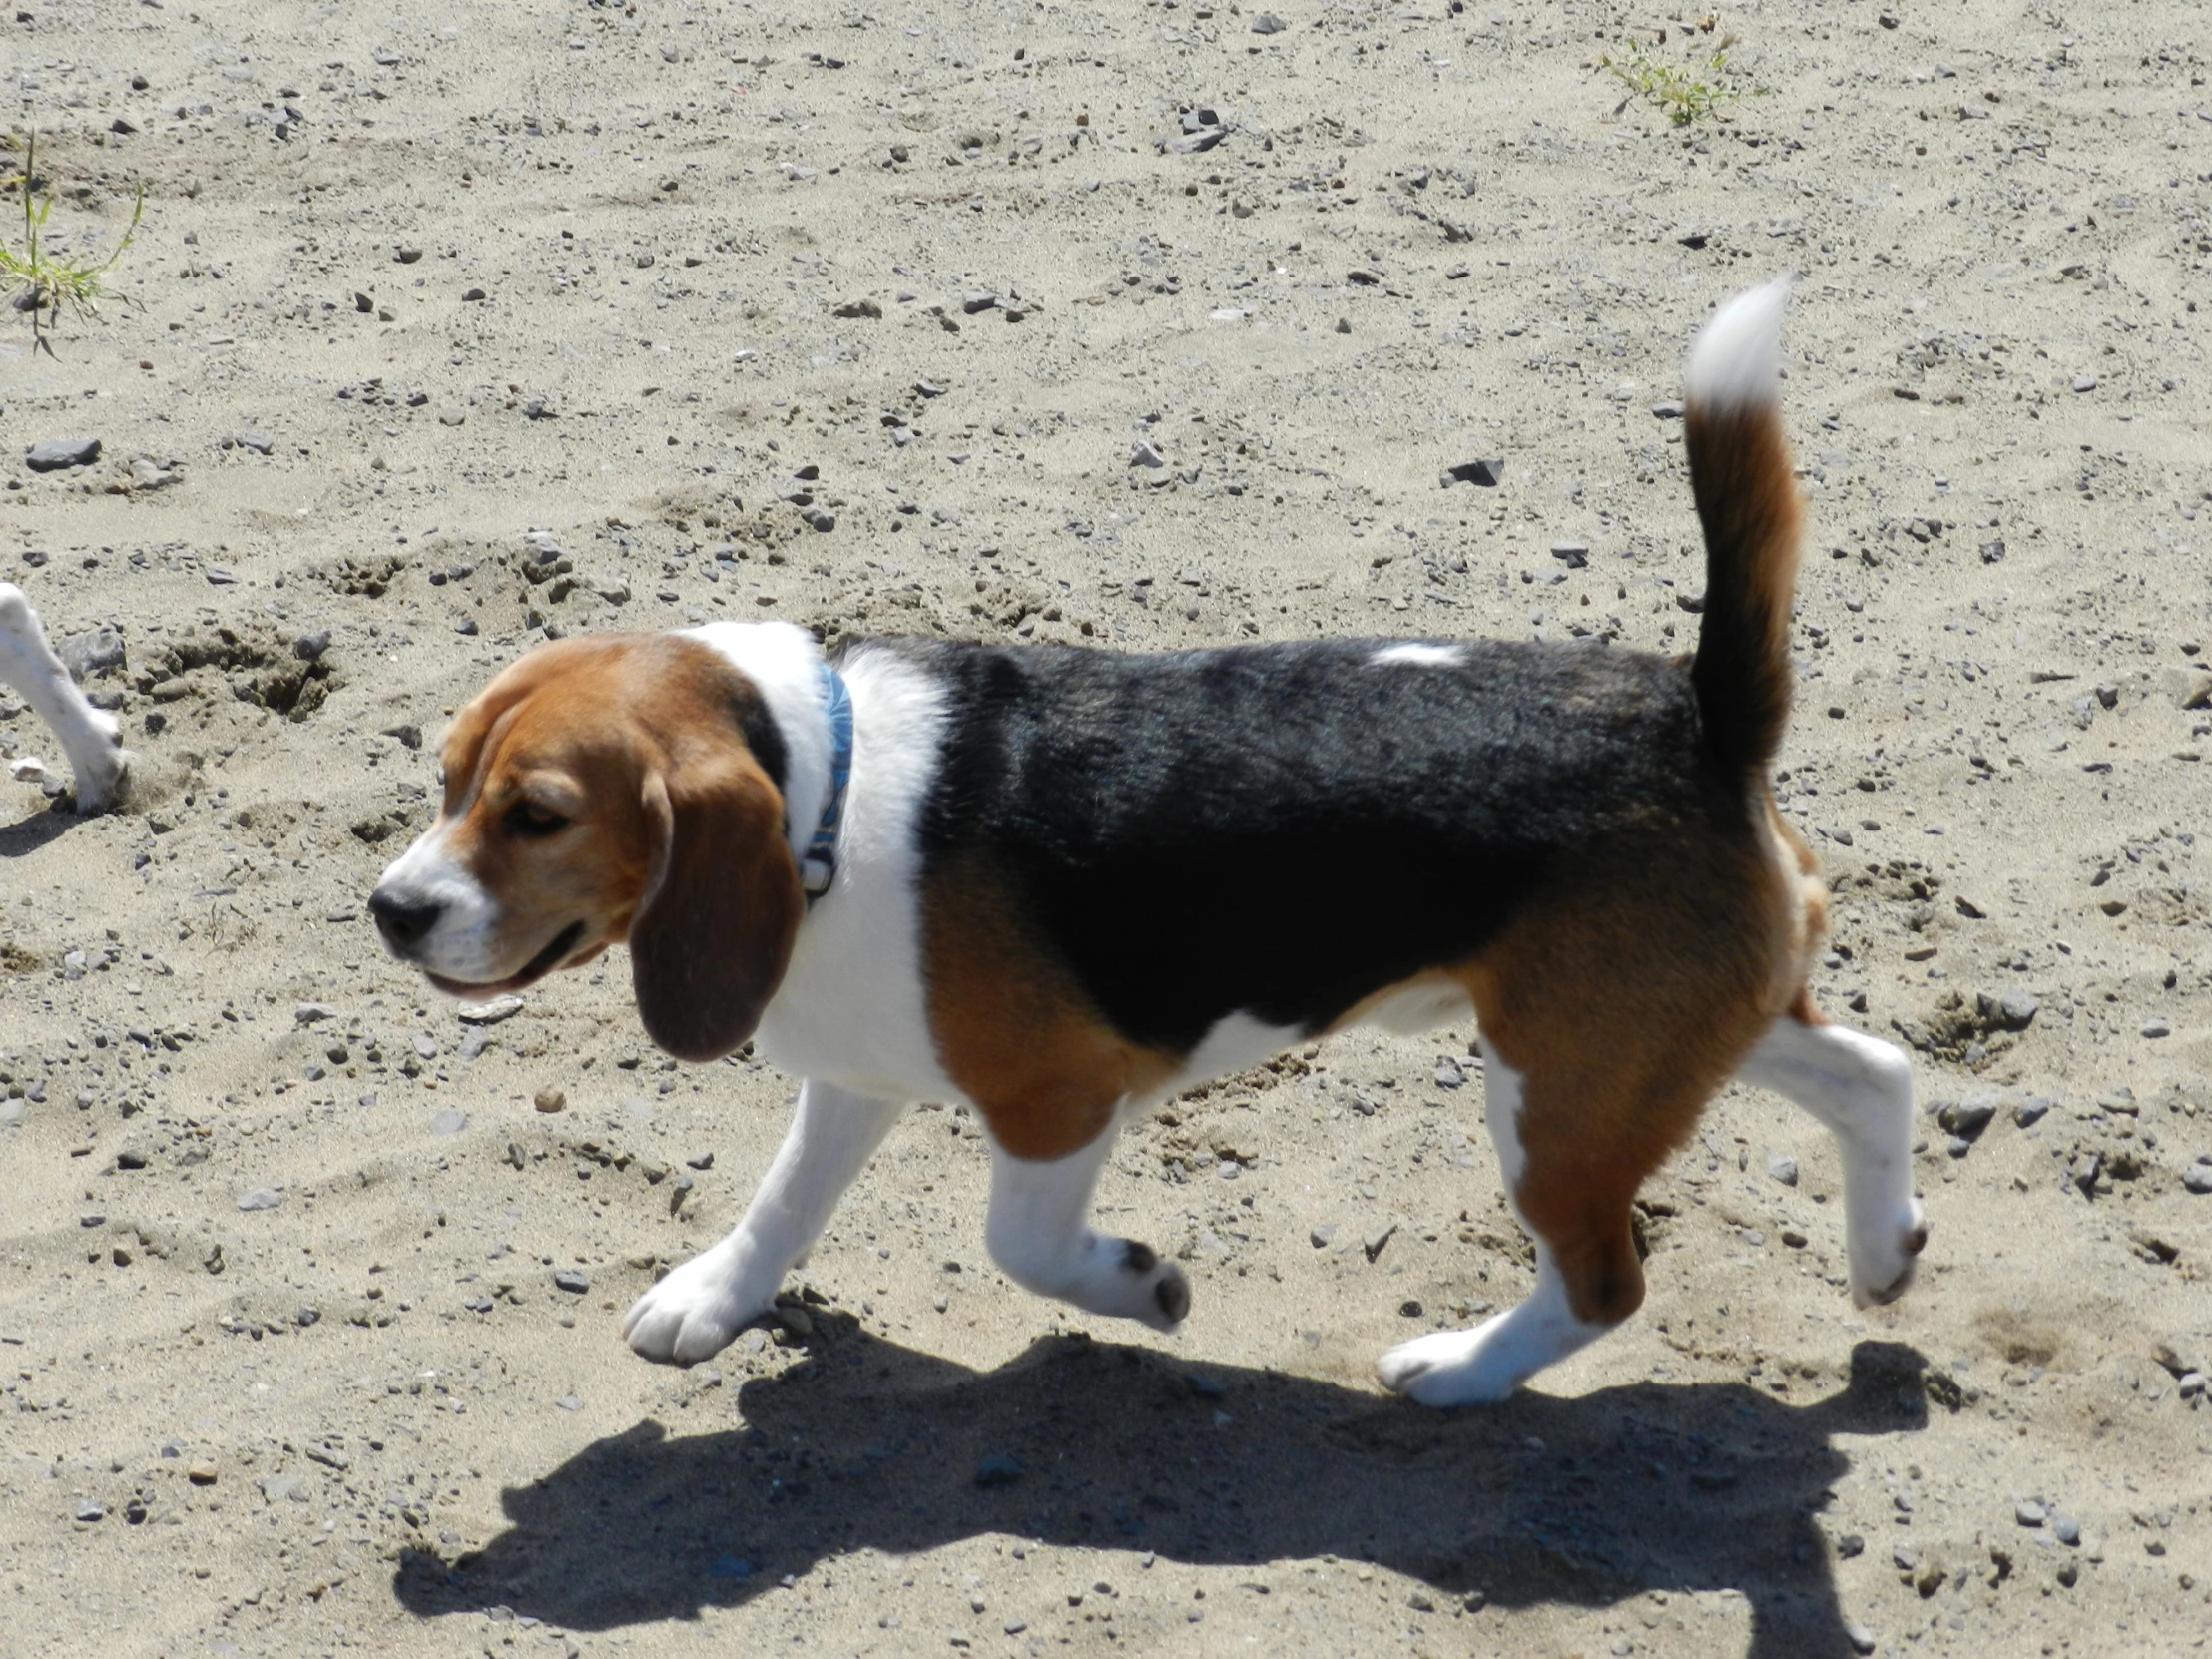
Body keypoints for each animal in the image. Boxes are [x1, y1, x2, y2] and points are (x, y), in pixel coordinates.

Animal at [362, 282, 1920, 1406]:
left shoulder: (1059, 1098)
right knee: (1873, 1072)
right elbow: (781, 1199)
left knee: (1606, 1282)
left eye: (537, 814)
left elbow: (1020, 1244)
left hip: (1563, 1091)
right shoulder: (854, 1067)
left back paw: (1461, 1373)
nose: (388, 909)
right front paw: (716, 1297)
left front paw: (1139, 1285)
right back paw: (1882, 1252)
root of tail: (1695, 709)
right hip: (1647, 1039)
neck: (829, 799)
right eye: (442, 780)